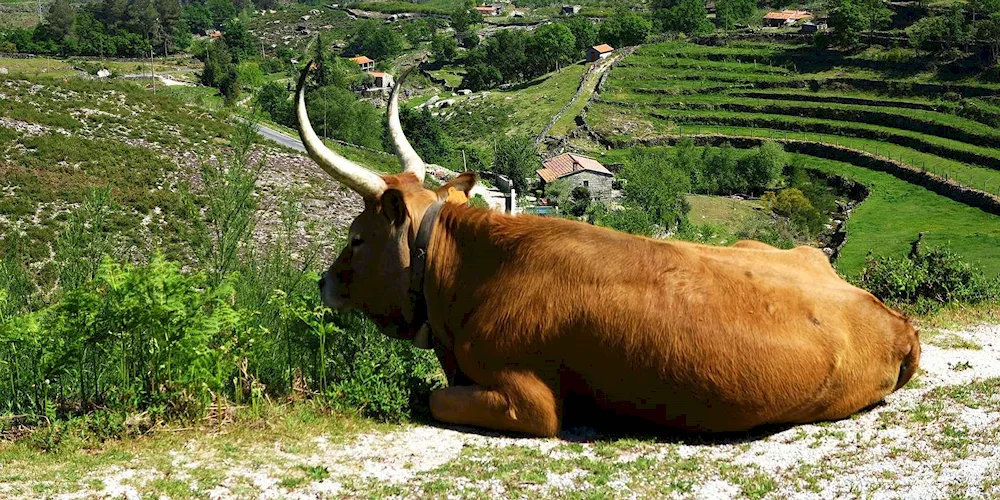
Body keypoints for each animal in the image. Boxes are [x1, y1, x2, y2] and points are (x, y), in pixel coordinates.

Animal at [292, 64, 920, 436]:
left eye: (356, 237)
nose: (322, 281)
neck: (474, 275)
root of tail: (897, 320)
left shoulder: (531, 401)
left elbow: (433, 397)